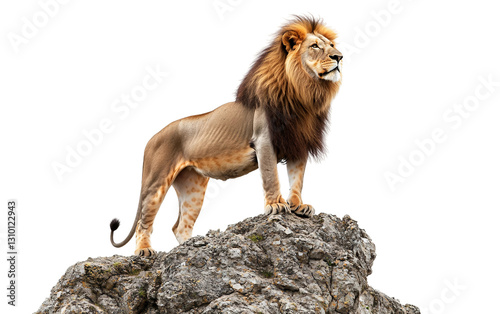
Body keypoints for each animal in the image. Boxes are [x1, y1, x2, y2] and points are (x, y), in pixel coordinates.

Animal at [111, 15, 342, 255]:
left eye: (331, 45)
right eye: (315, 46)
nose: (339, 57)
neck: (304, 93)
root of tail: (151, 138)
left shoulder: (299, 143)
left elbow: (297, 179)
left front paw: (298, 205)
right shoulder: (264, 140)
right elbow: (272, 176)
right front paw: (276, 204)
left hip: (192, 185)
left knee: (181, 226)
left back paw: (191, 248)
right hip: (156, 181)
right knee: (144, 221)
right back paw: (144, 251)